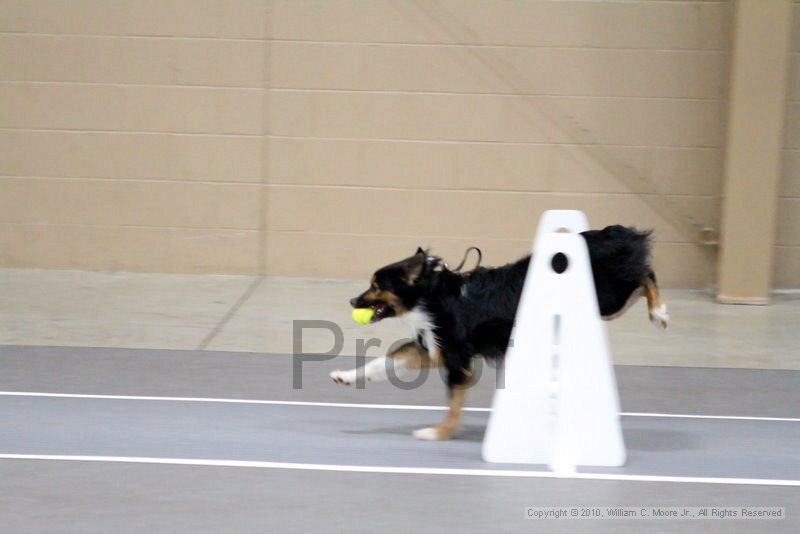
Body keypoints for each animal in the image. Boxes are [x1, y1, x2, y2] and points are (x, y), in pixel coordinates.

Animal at [328, 224, 664, 442]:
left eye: (375, 286)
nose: (352, 302)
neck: (432, 296)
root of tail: (610, 233)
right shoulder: (433, 350)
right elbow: (384, 362)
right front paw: (346, 376)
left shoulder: (457, 362)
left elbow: (453, 404)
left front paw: (439, 432)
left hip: (608, 296)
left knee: (645, 274)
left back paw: (659, 312)